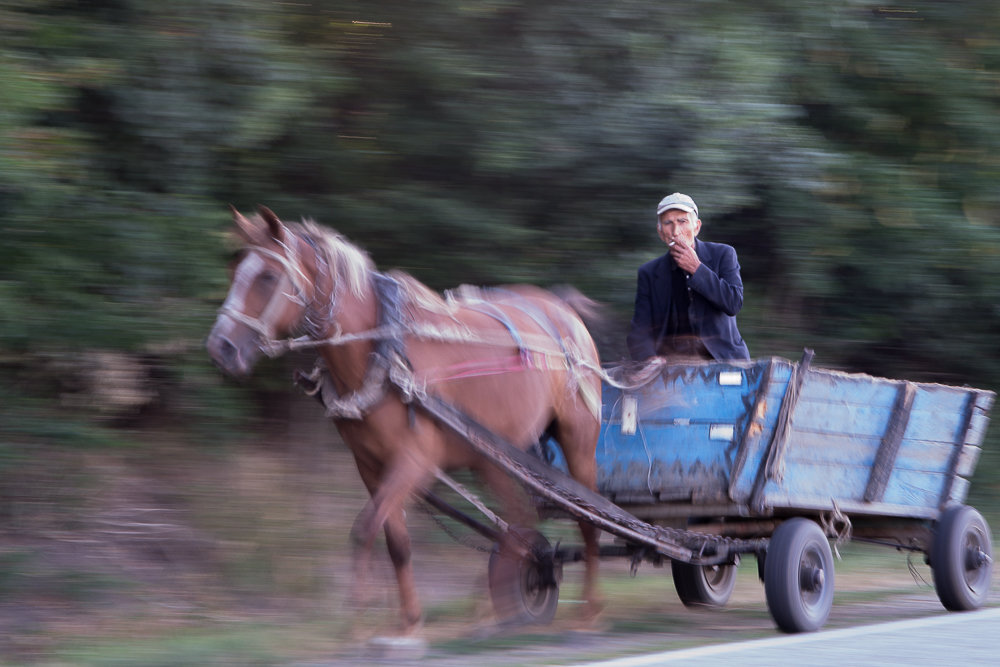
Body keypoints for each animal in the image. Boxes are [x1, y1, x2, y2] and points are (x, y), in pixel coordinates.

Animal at [205, 206, 600, 636]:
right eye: (234, 270)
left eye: (268, 277)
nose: (220, 348)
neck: (383, 353)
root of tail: (564, 312)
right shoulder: (370, 464)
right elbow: (396, 541)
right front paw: (409, 619)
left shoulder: (414, 461)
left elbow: (363, 530)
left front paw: (357, 620)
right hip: (490, 456)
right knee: (517, 520)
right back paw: (499, 600)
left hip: (578, 442)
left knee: (587, 522)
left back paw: (587, 610)